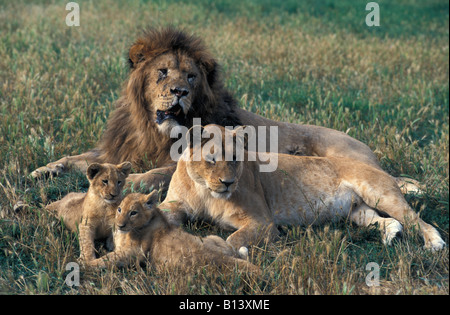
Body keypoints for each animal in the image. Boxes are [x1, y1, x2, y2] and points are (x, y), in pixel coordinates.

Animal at [30, 27, 418, 194]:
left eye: (190, 76)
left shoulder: (179, 161)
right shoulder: (116, 149)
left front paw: (137, 180)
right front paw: (45, 170)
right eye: (162, 72)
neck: (151, 130)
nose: (179, 92)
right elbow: (78, 158)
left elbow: (158, 173)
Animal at [160, 126, 444, 254]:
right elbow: (160, 213)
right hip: (357, 211)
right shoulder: (174, 205)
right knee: (386, 220)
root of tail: (375, 163)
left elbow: (234, 240)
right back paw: (391, 236)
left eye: (235, 159)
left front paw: (229, 252)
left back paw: (434, 243)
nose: (228, 183)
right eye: (211, 159)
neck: (205, 191)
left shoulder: (263, 222)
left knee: (417, 220)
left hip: (379, 192)